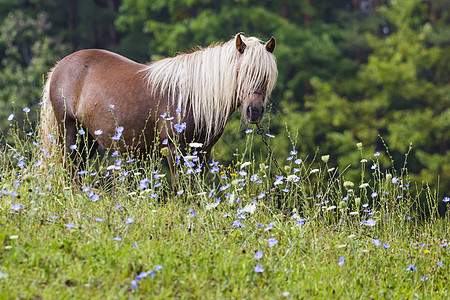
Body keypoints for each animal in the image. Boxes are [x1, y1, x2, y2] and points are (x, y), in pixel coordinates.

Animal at [39, 32, 278, 183]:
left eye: (267, 76)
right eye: (241, 72)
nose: (255, 111)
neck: (191, 96)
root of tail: (60, 66)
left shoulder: (202, 152)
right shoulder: (176, 151)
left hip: (87, 139)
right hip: (70, 133)